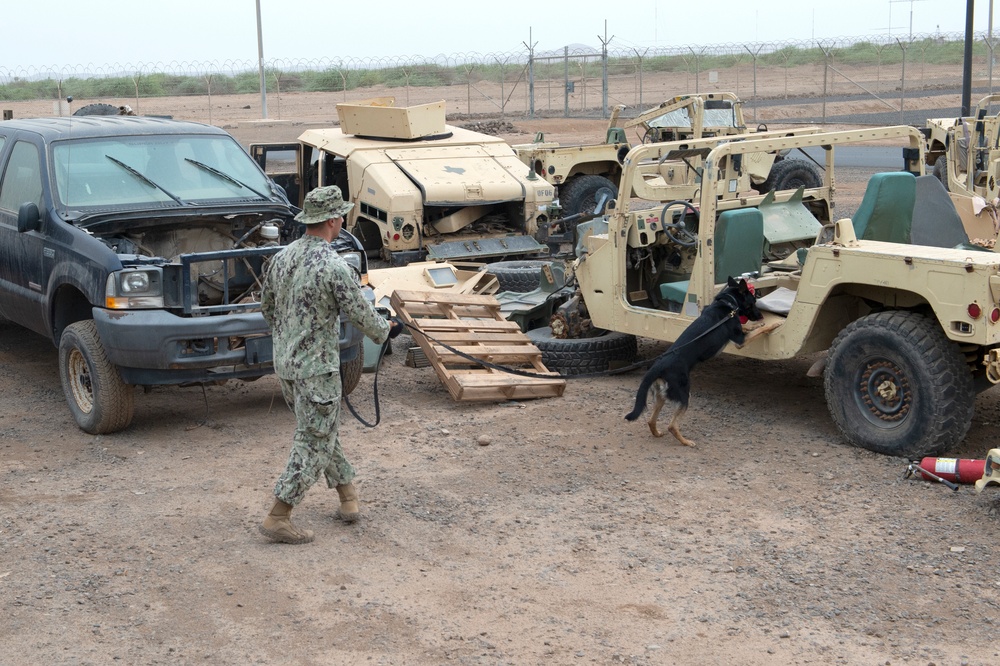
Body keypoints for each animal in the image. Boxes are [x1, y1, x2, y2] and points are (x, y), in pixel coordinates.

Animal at [624, 276, 780, 446]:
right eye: (753, 302)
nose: (761, 316)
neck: (728, 303)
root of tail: (656, 368)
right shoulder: (740, 341)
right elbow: (759, 330)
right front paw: (773, 324)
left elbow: (749, 328)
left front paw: (756, 325)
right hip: (684, 394)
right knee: (672, 426)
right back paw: (686, 442)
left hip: (662, 396)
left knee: (651, 421)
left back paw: (658, 433)